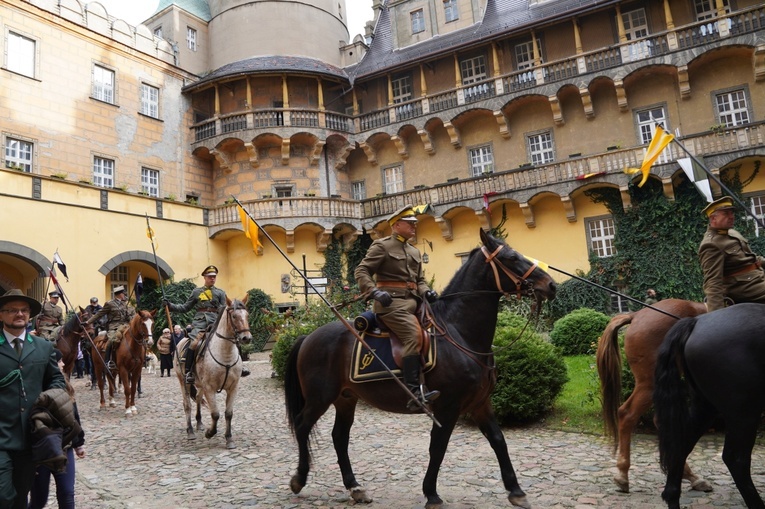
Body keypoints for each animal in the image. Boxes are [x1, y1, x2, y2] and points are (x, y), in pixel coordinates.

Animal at [174, 294, 251, 448]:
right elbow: (215, 413)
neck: (225, 354)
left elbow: (228, 413)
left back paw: (199, 423)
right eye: (234, 316)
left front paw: (229, 439)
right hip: (183, 381)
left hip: (200, 385)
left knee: (198, 398)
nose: (247, 338)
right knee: (187, 405)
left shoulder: (233, 388)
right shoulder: (210, 388)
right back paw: (190, 431)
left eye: (247, 315)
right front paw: (210, 433)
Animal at [280, 230, 556, 508]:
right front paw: (431, 493)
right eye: (511, 257)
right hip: (320, 397)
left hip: (346, 399)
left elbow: (498, 441)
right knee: (303, 426)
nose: (551, 285)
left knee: (339, 437)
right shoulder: (447, 407)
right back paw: (299, 479)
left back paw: (355, 487)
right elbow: (438, 448)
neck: (459, 333)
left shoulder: (480, 403)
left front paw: (516, 490)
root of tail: (308, 335)